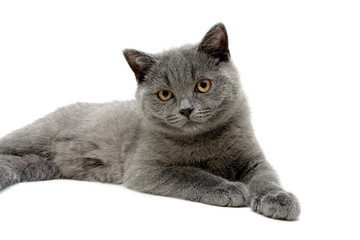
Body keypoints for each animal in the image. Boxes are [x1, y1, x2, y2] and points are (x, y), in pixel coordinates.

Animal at [0, 23, 298, 220]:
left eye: (203, 85)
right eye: (165, 94)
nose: (186, 109)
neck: (203, 140)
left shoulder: (253, 160)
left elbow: (267, 177)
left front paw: (279, 199)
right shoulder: (145, 169)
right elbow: (191, 174)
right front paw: (227, 187)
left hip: (43, 165)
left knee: (19, 164)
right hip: (32, 137)